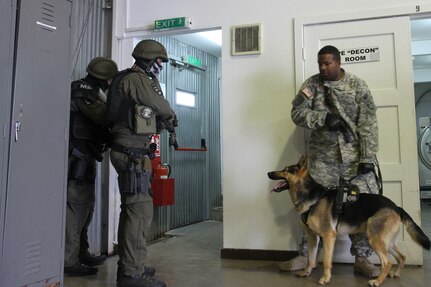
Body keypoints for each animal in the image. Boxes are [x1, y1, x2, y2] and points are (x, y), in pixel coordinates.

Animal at [268, 156, 430, 286]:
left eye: (286, 170)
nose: (268, 173)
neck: (311, 196)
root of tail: (396, 206)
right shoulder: (313, 237)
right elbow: (310, 258)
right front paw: (306, 272)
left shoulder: (328, 236)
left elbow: (326, 260)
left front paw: (325, 278)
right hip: (386, 241)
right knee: (402, 257)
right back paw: (395, 274)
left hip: (375, 239)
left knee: (387, 262)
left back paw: (377, 281)